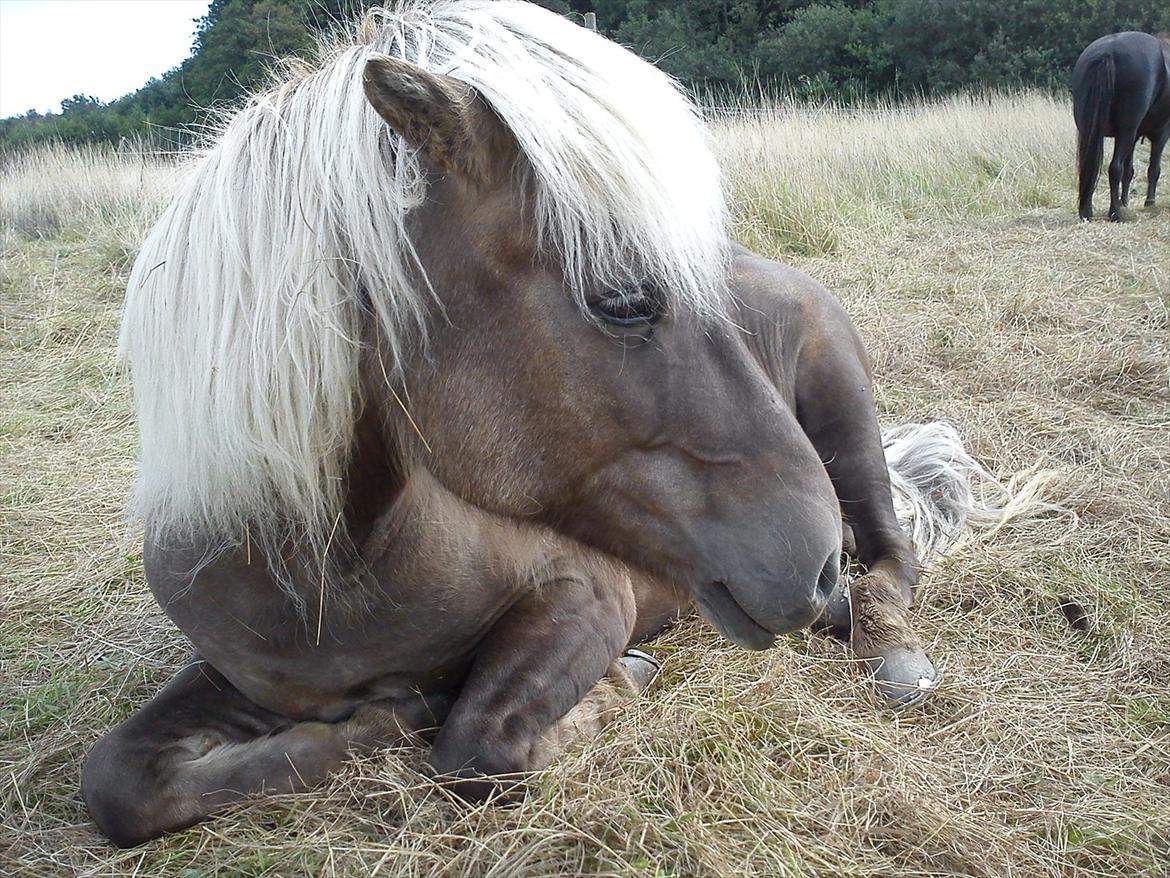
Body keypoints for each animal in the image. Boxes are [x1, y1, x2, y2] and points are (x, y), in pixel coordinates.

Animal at [86, 1, 1029, 852]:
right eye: (621, 300)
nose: (815, 557)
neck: (335, 574)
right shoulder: (230, 675)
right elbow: (120, 785)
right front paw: (383, 717)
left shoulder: (585, 595)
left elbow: (475, 748)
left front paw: (605, 692)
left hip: (848, 429)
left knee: (893, 557)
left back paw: (886, 645)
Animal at [1071, 32, 1170, 221]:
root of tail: (1108, 51)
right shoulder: (1161, 134)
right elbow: (1153, 169)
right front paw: (1149, 202)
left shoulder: (1134, 137)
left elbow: (1128, 171)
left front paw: (1125, 201)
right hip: (1126, 132)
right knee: (1114, 168)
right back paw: (1115, 212)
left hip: (1091, 130)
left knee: (1089, 166)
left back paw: (1087, 211)